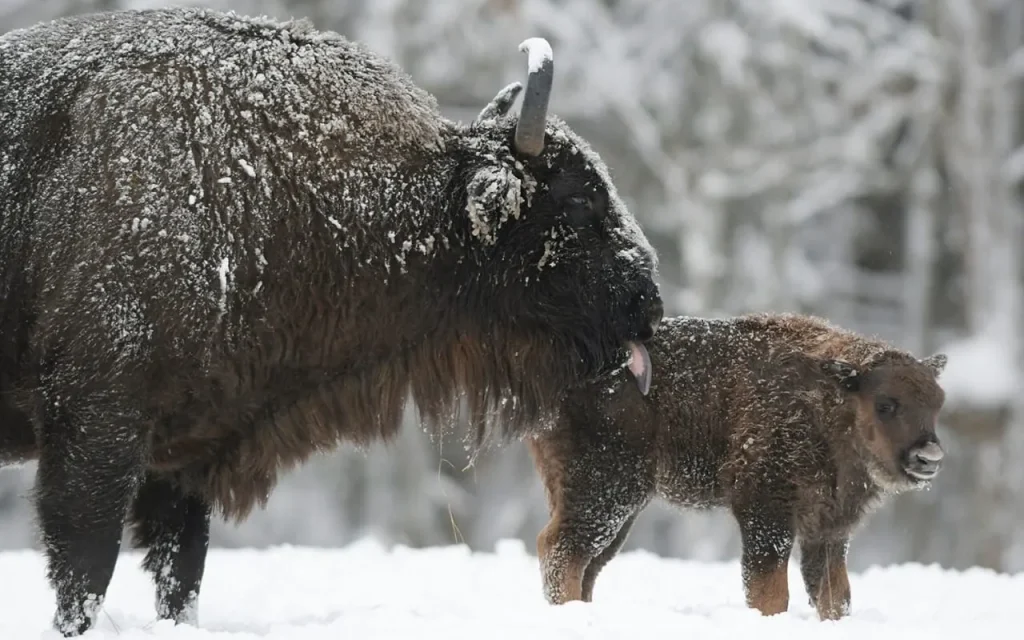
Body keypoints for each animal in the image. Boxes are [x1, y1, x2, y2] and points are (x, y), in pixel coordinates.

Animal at [0, 7, 663, 634]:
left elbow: (180, 574)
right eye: (577, 199)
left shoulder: (187, 455)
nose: (648, 301)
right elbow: (85, 570)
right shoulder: (96, 430)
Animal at [532, 311, 946, 622]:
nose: (929, 456)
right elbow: (770, 588)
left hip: (617, 506)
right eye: (886, 403)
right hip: (607, 491)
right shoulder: (766, 510)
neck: (827, 401)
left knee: (589, 563)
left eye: (936, 403)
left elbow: (834, 593)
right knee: (562, 549)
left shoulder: (827, 529)